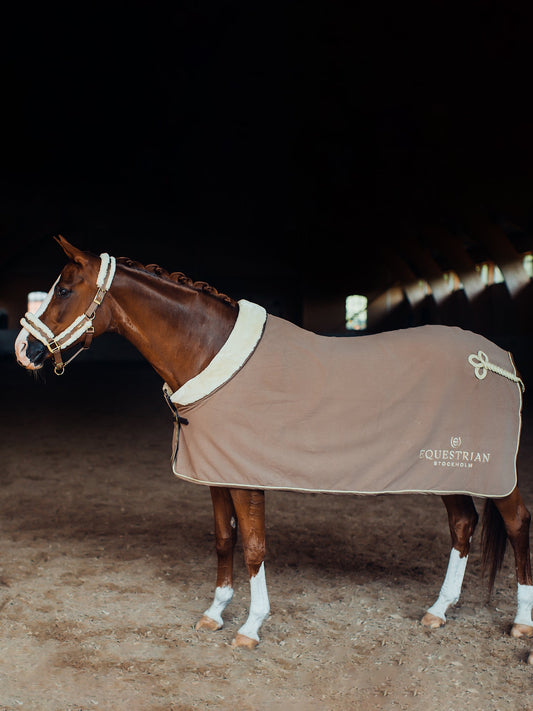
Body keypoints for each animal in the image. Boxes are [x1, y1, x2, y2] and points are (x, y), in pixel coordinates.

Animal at [14, 235, 533, 656]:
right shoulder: (217, 474)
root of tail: (499, 360)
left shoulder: (246, 478)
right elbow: (224, 540)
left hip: (489, 473)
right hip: (447, 469)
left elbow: (253, 547)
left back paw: (521, 622)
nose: (24, 350)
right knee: (463, 524)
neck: (209, 351)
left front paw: (251, 627)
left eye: (63, 290)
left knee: (516, 523)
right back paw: (439, 610)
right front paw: (215, 613)